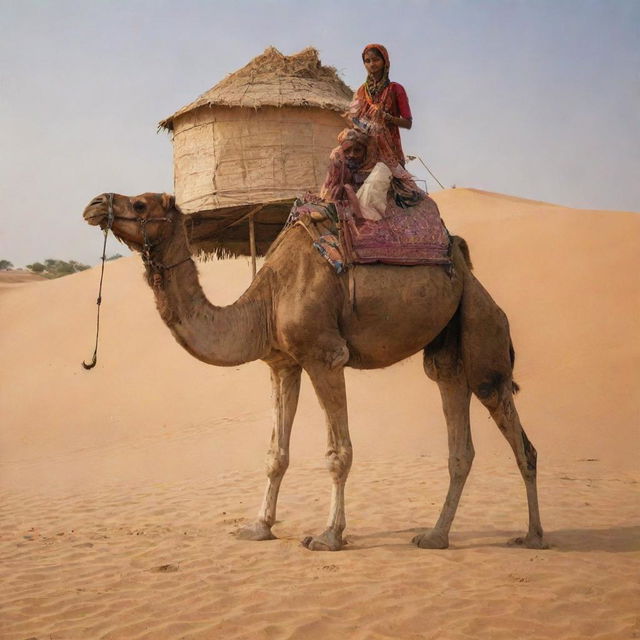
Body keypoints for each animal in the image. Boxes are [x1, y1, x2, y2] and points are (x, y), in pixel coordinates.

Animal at [84, 190, 544, 552]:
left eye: (139, 203)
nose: (95, 203)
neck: (264, 303)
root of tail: (465, 265)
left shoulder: (325, 355)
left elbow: (338, 454)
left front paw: (328, 536)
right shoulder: (283, 364)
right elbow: (276, 454)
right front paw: (258, 527)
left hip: (482, 325)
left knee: (513, 428)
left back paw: (533, 536)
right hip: (447, 347)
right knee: (458, 434)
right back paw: (435, 536)